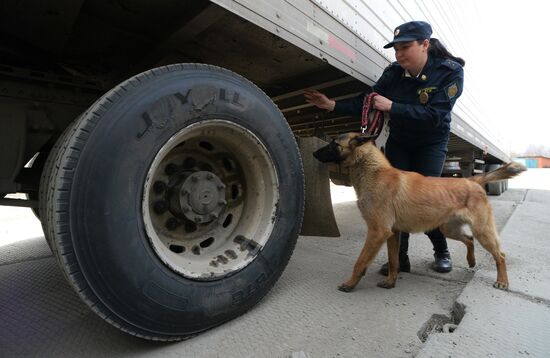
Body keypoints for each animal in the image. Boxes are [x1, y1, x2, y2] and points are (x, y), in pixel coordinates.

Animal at [312, 133, 528, 292]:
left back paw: (502, 281)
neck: (372, 170)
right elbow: (394, 262)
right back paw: (471, 260)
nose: (313, 153)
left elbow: (360, 262)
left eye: (333, 144)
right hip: (449, 229)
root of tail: (471, 181)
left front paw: (350, 284)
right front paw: (391, 282)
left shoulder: (377, 232)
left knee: (500, 255)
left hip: (483, 232)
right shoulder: (392, 234)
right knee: (469, 239)